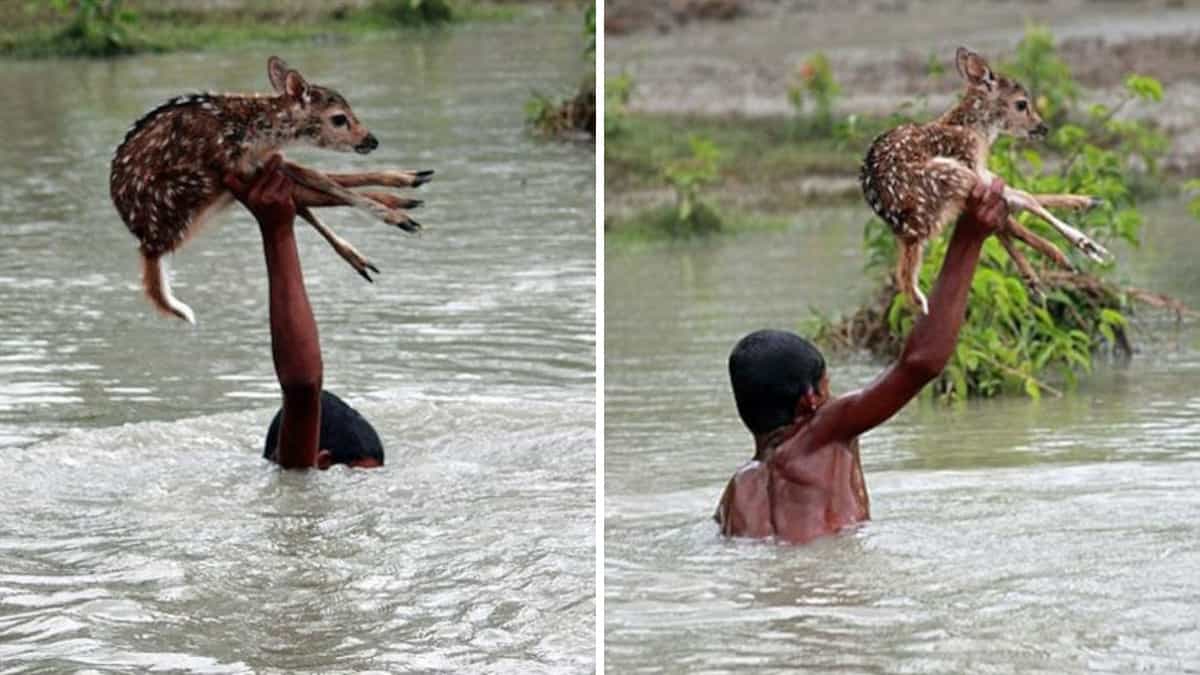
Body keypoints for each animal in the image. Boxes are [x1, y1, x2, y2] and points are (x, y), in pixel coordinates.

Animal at [110, 55, 434, 324]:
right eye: (339, 118)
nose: (371, 140)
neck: (257, 132)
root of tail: (149, 245)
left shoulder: (262, 162)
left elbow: (319, 177)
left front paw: (403, 187)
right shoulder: (237, 164)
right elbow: (321, 180)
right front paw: (397, 214)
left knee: (305, 194)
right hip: (196, 188)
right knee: (307, 194)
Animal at [864, 45, 1104, 314]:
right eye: (1021, 104)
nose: (1043, 127)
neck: (973, 131)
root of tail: (909, 229)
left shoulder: (980, 170)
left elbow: (1019, 196)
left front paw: (1085, 206)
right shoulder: (970, 161)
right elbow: (1024, 198)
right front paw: (1085, 243)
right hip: (950, 174)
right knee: (1011, 209)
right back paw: (1066, 255)